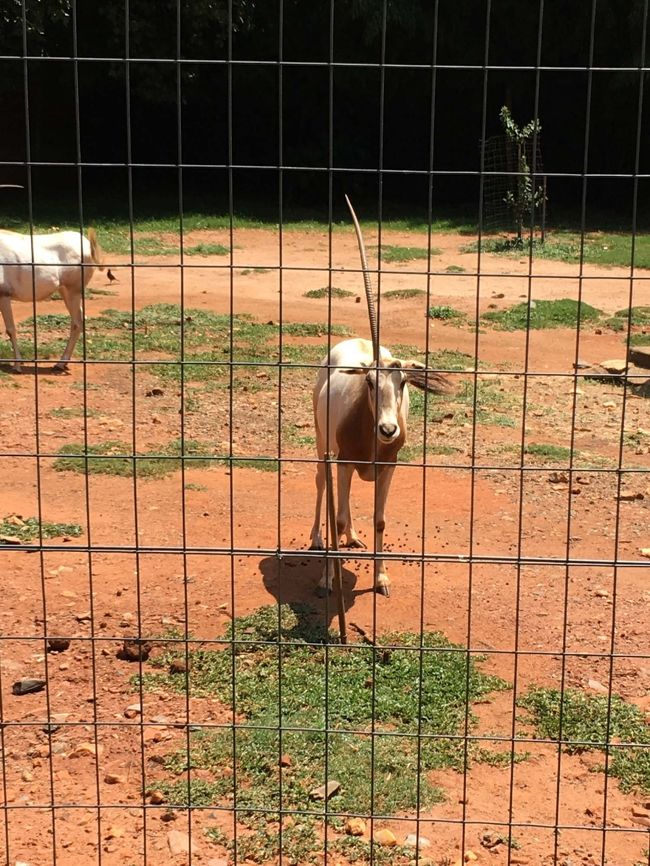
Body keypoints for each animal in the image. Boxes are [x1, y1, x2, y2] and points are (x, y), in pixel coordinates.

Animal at [0, 226, 104, 372]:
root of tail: (88, 245)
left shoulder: (4, 295)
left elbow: (10, 329)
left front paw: (17, 366)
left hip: (73, 290)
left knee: (77, 322)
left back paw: (60, 363)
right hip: (64, 291)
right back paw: (62, 363)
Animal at [308, 198, 450, 596]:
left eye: (402, 383)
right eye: (370, 382)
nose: (388, 430)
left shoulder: (388, 467)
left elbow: (380, 519)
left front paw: (381, 579)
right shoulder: (343, 462)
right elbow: (338, 517)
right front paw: (328, 579)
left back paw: (354, 538)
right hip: (324, 444)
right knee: (322, 483)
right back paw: (317, 540)